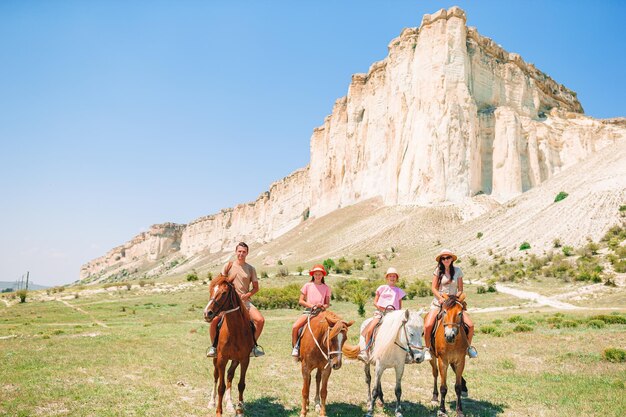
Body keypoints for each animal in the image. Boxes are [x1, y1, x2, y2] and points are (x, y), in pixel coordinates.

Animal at [204, 272, 255, 416]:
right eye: (211, 290)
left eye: (224, 292)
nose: (207, 313)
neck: (236, 331)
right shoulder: (222, 359)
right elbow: (221, 387)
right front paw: (218, 411)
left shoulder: (244, 359)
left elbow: (241, 384)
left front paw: (239, 409)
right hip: (216, 359)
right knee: (216, 376)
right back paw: (212, 402)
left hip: (235, 360)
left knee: (230, 376)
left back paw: (230, 404)